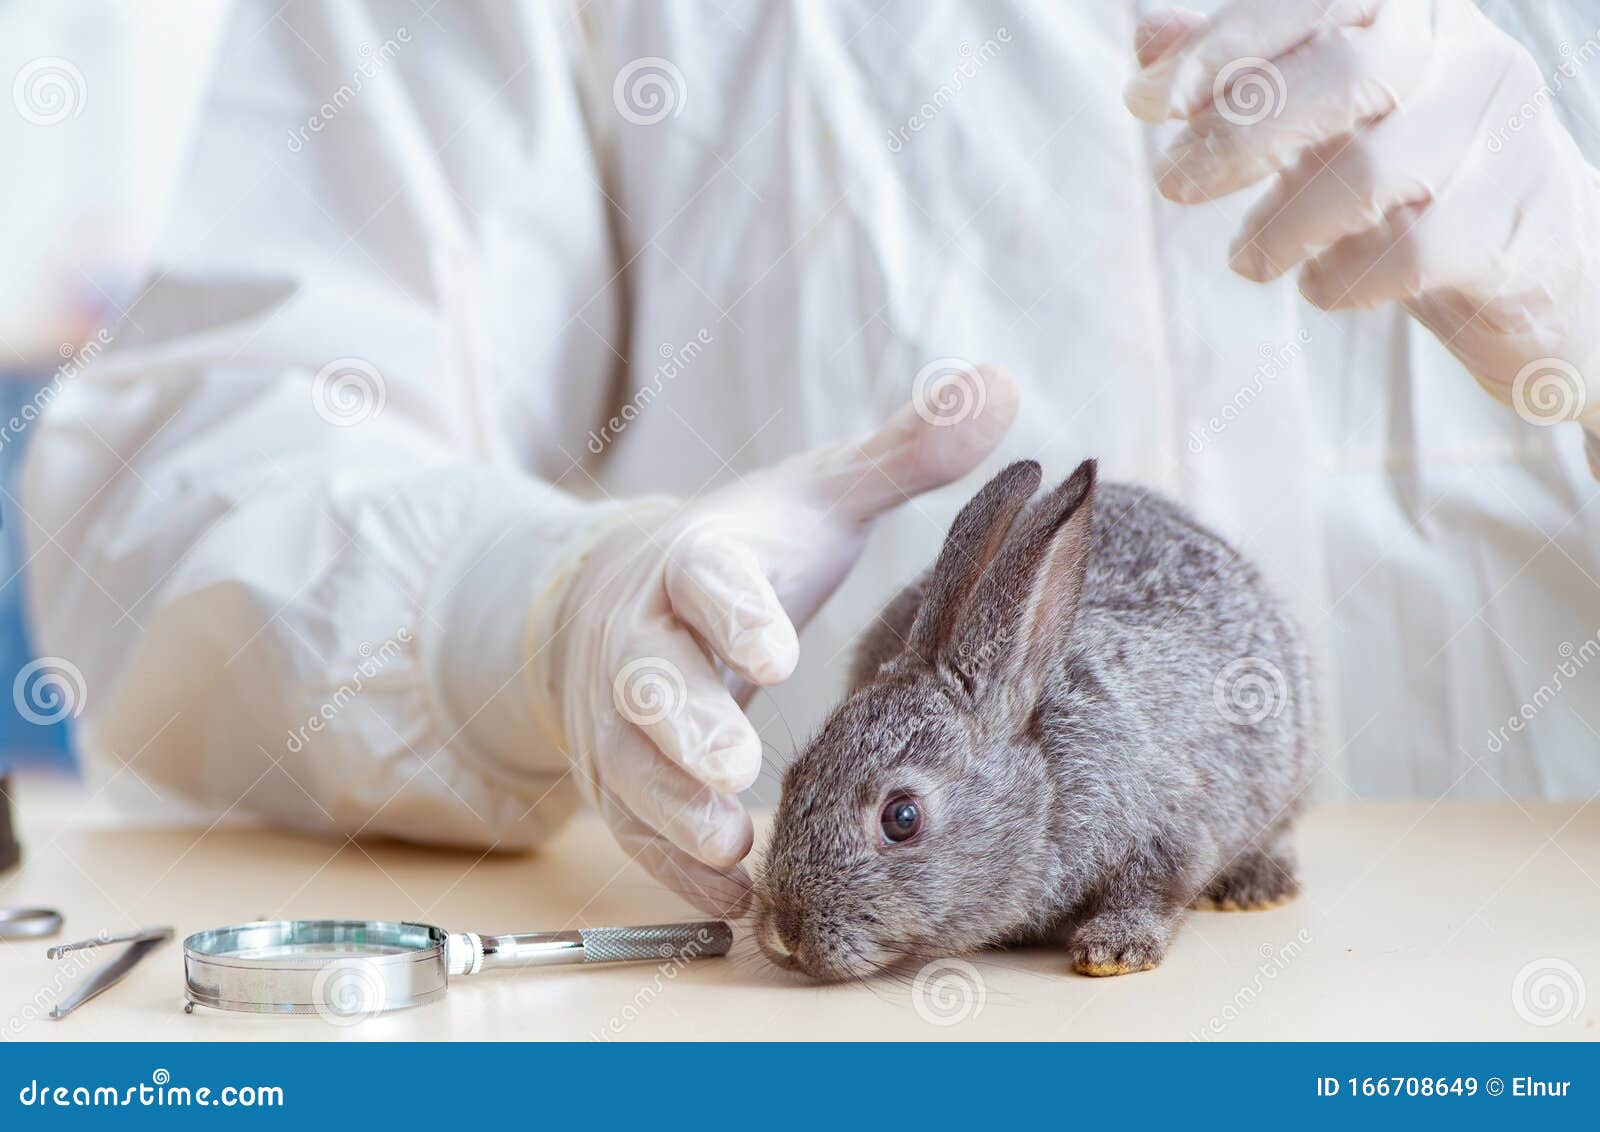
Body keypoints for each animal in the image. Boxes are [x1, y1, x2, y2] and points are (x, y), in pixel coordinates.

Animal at [754, 458, 1314, 981]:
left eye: (902, 818)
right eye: (794, 777)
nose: (787, 933)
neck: (1048, 784)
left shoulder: (1172, 828)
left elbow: (1156, 887)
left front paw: (1113, 951)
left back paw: (1258, 886)